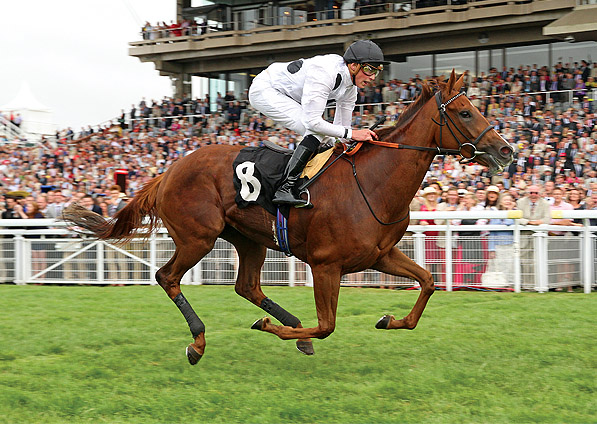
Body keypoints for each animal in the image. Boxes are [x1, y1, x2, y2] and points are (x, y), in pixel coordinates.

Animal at [64, 71, 512, 362]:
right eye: (466, 112)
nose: (507, 150)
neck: (372, 183)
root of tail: (168, 170)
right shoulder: (326, 264)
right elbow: (328, 324)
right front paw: (273, 330)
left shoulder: (380, 255)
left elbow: (429, 281)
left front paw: (389, 320)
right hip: (198, 236)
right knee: (167, 276)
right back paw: (199, 341)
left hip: (248, 239)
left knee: (247, 286)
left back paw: (287, 326)